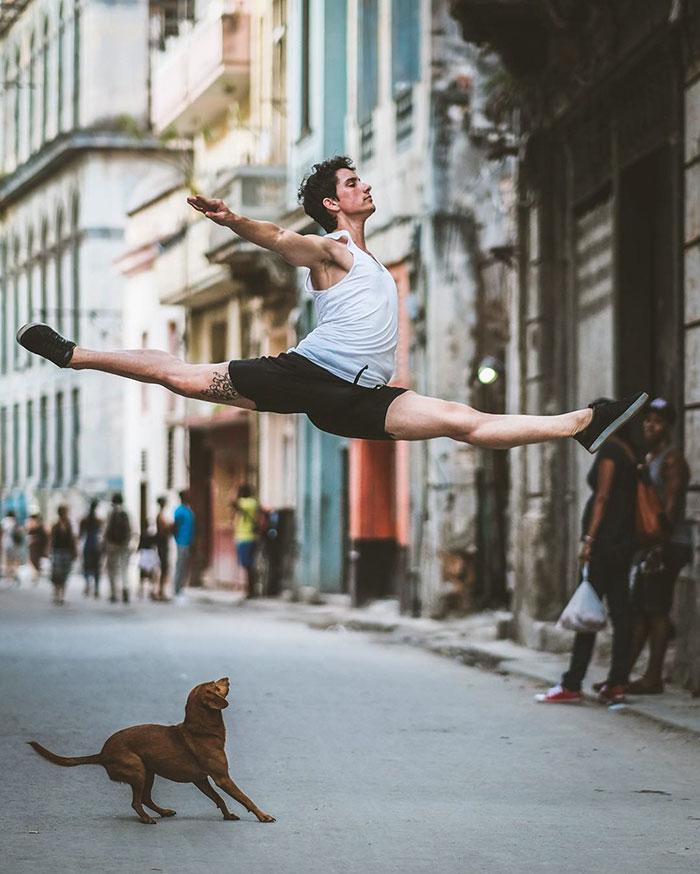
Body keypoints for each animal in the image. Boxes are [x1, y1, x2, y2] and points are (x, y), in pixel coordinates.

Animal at [30, 676, 276, 824]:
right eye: (215, 685)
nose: (226, 677)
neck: (201, 729)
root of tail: (103, 754)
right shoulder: (222, 778)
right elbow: (245, 798)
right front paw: (263, 816)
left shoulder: (201, 779)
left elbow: (218, 799)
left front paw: (227, 815)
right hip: (138, 770)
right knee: (136, 802)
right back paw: (147, 819)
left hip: (149, 772)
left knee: (146, 798)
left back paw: (163, 812)